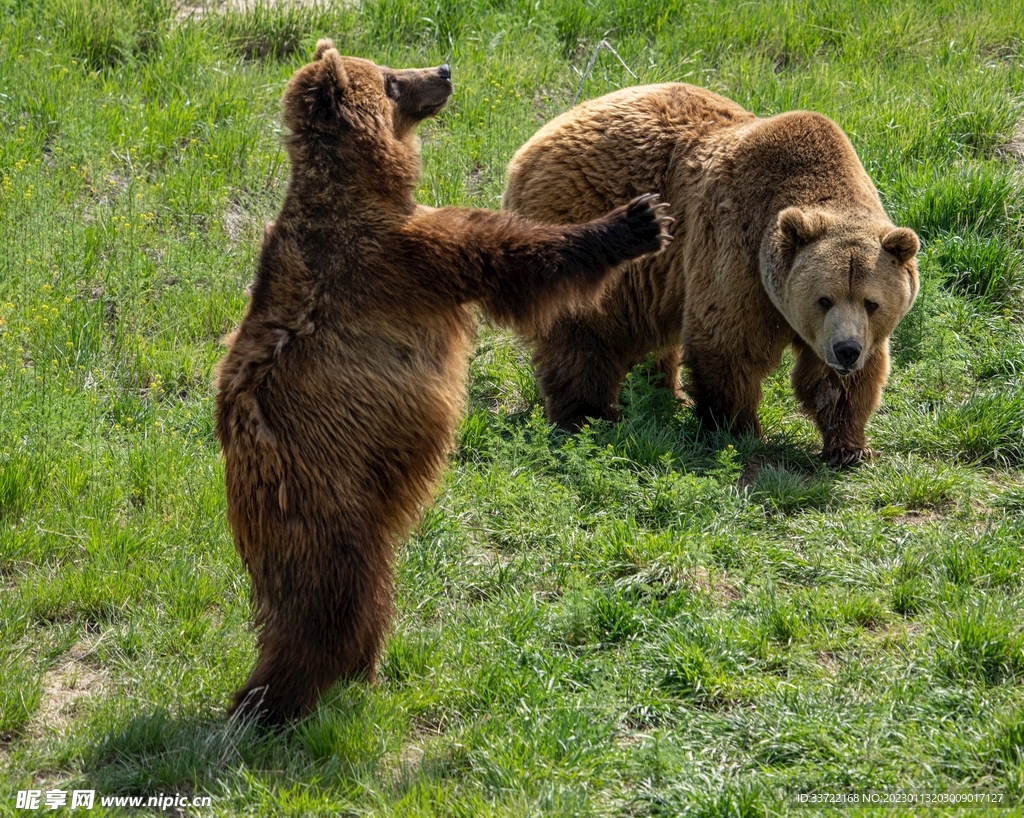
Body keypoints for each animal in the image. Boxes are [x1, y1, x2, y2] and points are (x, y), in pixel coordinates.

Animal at [214, 41, 672, 725]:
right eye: (390, 80)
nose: (444, 71)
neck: (364, 188)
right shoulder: (407, 258)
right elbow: (510, 257)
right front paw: (636, 220)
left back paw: (350, 675)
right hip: (330, 496)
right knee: (331, 597)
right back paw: (280, 698)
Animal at [503, 83, 920, 467]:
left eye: (871, 302)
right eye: (823, 299)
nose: (846, 350)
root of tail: (530, 146)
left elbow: (839, 382)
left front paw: (850, 447)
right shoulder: (737, 252)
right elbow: (727, 344)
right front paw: (740, 431)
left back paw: (664, 394)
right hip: (587, 219)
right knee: (584, 331)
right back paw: (588, 416)